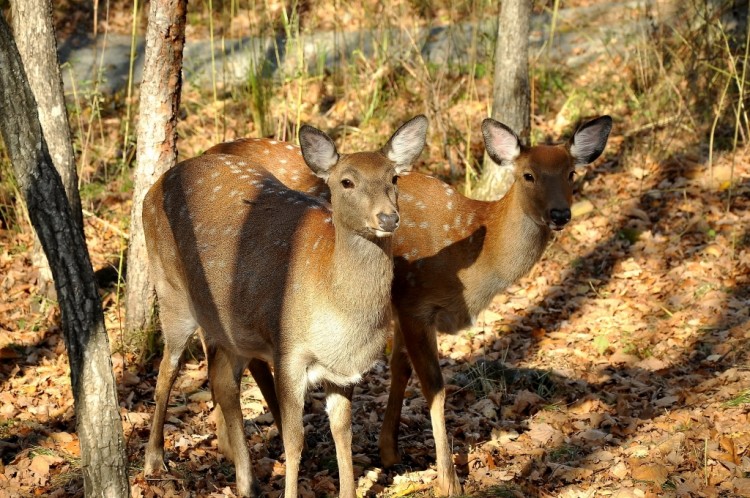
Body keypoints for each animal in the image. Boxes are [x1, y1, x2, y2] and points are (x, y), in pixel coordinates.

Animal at [144, 115, 432, 496]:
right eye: (347, 181)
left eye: (394, 178)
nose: (388, 218)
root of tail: (154, 187)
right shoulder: (289, 352)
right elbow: (294, 440)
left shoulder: (343, 370)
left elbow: (343, 434)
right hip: (171, 291)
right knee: (168, 370)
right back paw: (154, 460)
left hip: (229, 326)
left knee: (222, 380)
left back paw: (244, 477)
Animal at [204, 115, 612, 494]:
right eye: (529, 175)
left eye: (572, 173)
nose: (560, 214)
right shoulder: (415, 301)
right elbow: (433, 385)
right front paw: (448, 481)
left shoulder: (401, 308)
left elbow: (400, 368)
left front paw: (389, 451)